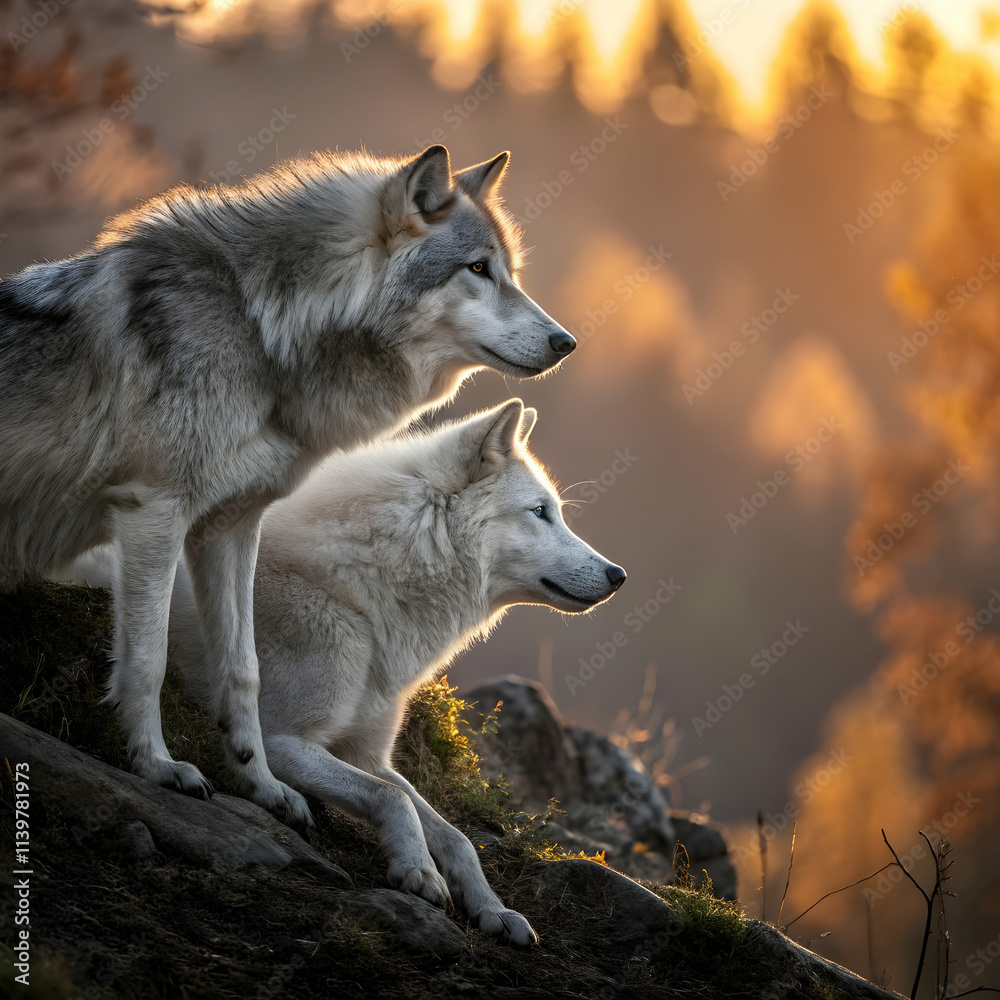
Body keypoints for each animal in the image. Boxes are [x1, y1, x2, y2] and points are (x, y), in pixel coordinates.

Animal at [0, 145, 575, 827]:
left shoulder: (230, 523)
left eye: (510, 272)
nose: (567, 342)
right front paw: (155, 765)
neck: (263, 328)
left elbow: (243, 669)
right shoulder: (156, 509)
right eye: (478, 269)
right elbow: (148, 656)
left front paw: (262, 784)